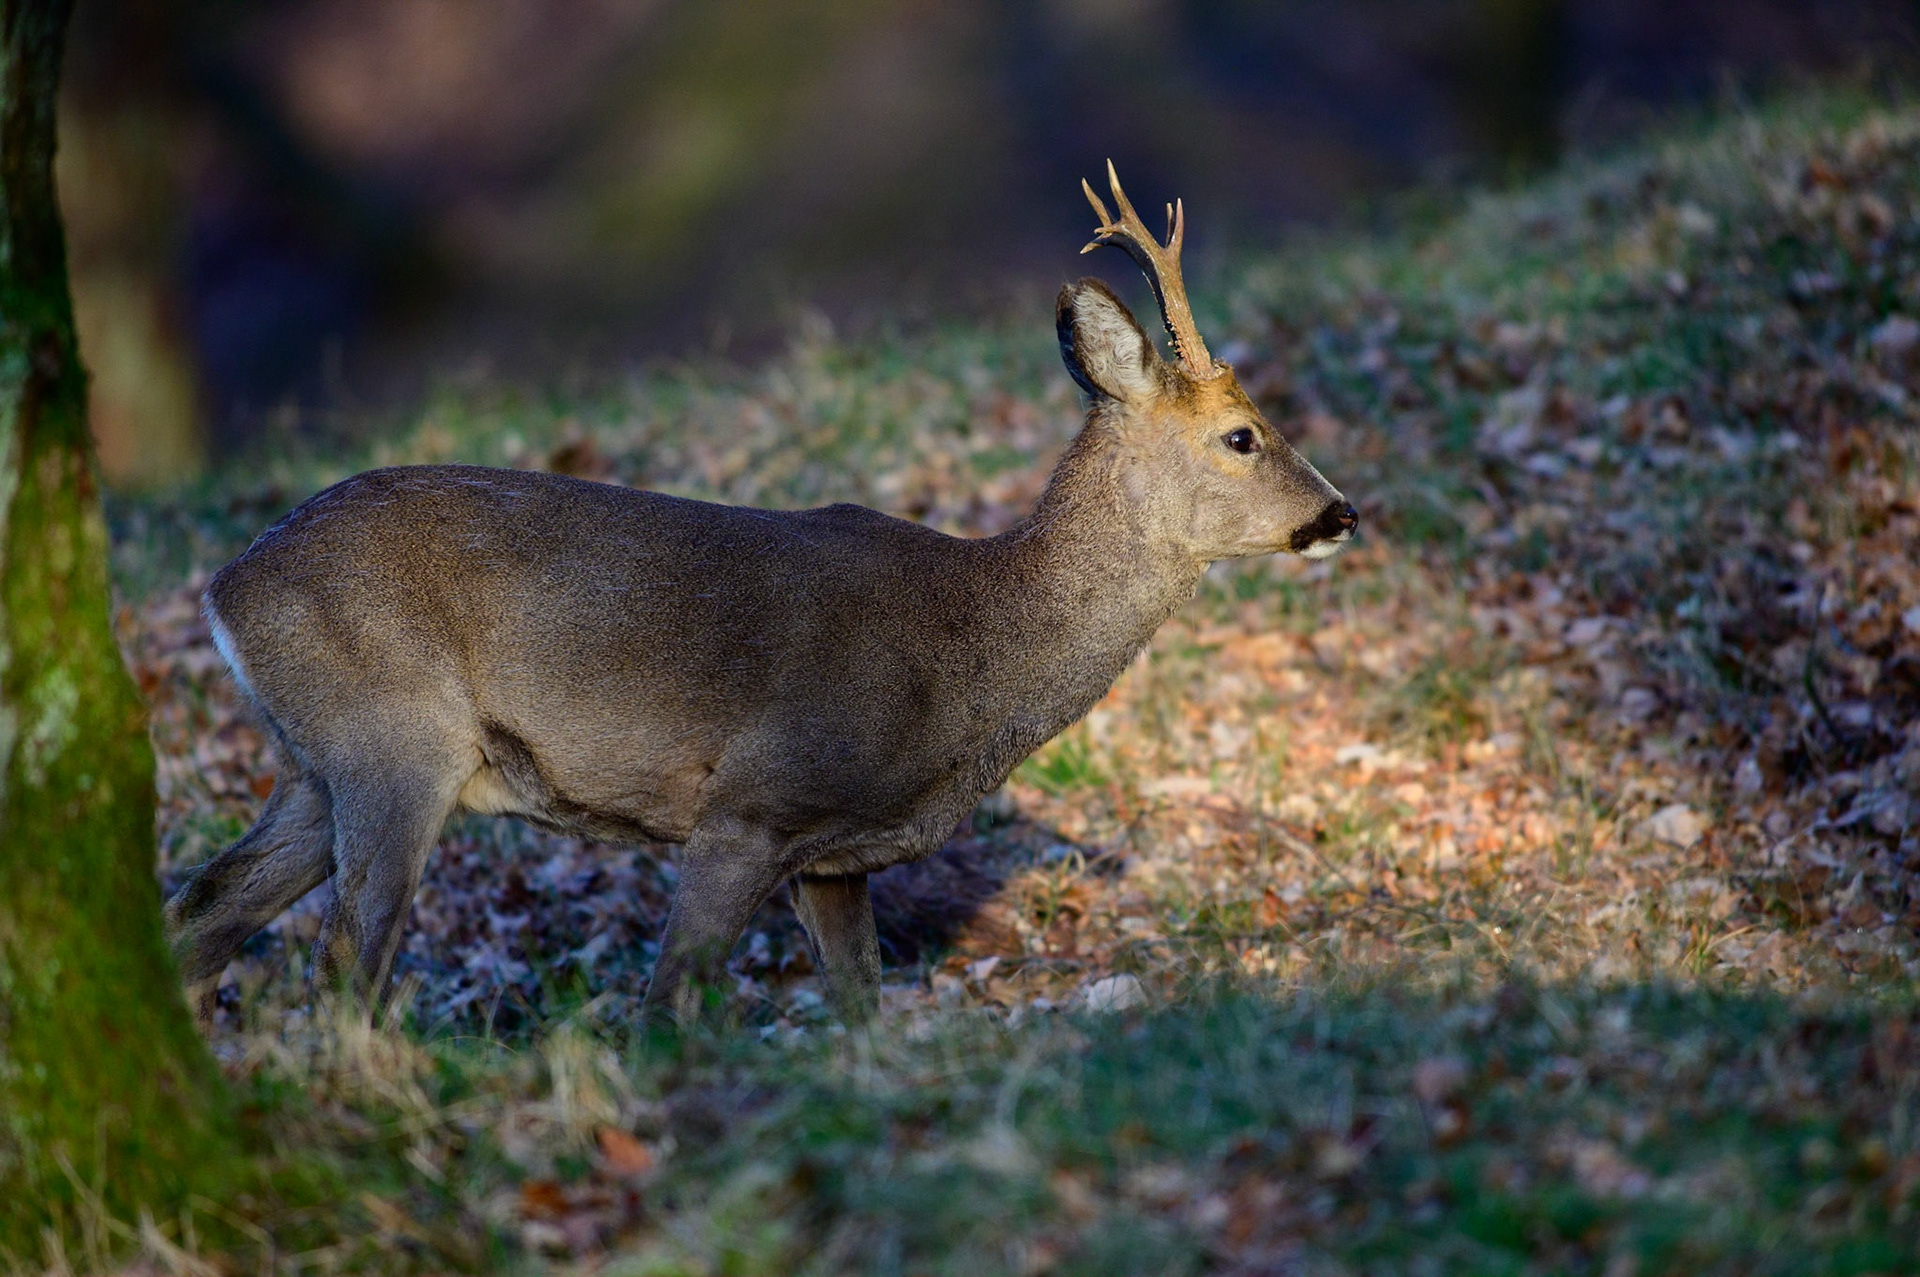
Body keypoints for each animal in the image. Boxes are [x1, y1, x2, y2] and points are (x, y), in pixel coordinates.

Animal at [162, 164, 1356, 1028]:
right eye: (1242, 435)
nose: (1342, 512)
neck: (972, 642)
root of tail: (228, 584)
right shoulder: (753, 801)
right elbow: (667, 1001)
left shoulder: (830, 855)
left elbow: (860, 1005)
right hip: (393, 741)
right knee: (344, 959)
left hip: (315, 762)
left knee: (203, 909)